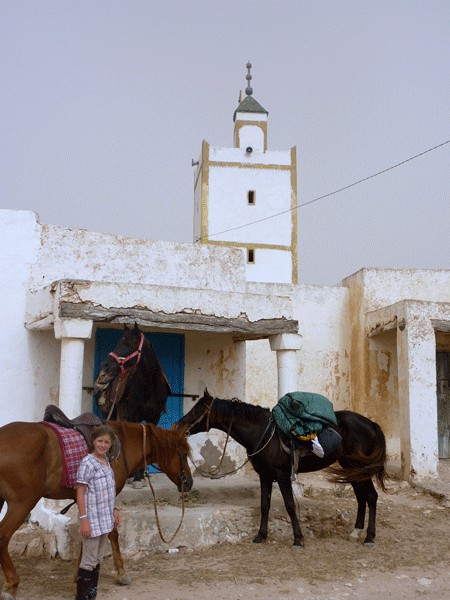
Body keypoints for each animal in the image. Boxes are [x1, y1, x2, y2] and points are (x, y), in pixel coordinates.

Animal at [0, 420, 192, 600]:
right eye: (183, 454)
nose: (189, 482)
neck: (122, 447)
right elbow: (110, 532)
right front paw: (119, 573)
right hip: (22, 503)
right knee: (3, 537)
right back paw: (11, 584)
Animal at [178, 390, 388, 548]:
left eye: (199, 409)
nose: (179, 425)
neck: (263, 433)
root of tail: (371, 423)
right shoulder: (264, 476)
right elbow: (264, 505)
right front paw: (260, 537)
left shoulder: (282, 475)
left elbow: (290, 505)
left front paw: (298, 539)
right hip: (351, 468)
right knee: (361, 497)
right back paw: (356, 532)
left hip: (358, 467)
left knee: (371, 496)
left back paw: (369, 537)